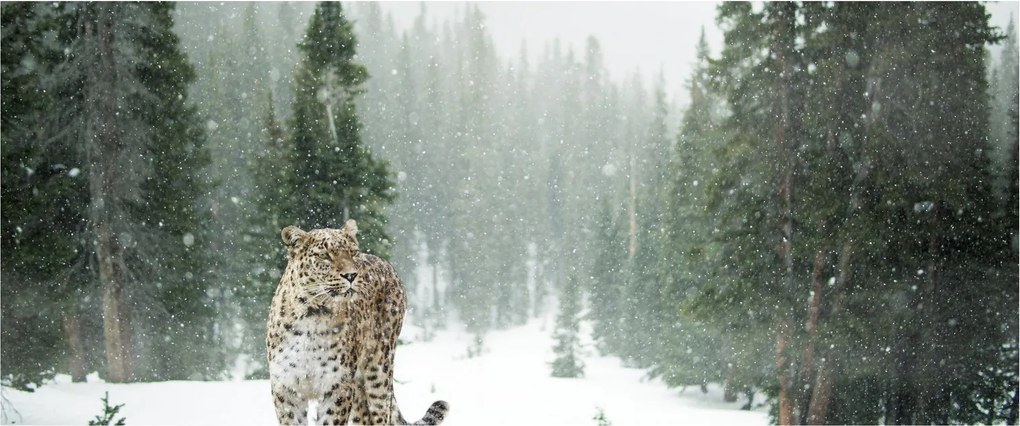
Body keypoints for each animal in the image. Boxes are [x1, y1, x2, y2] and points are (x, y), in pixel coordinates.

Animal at [266, 219, 448, 425]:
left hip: (378, 371)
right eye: (325, 255)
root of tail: (386, 264)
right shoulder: (286, 389)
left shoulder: (337, 386)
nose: (351, 275)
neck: (312, 315)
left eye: (352, 253)